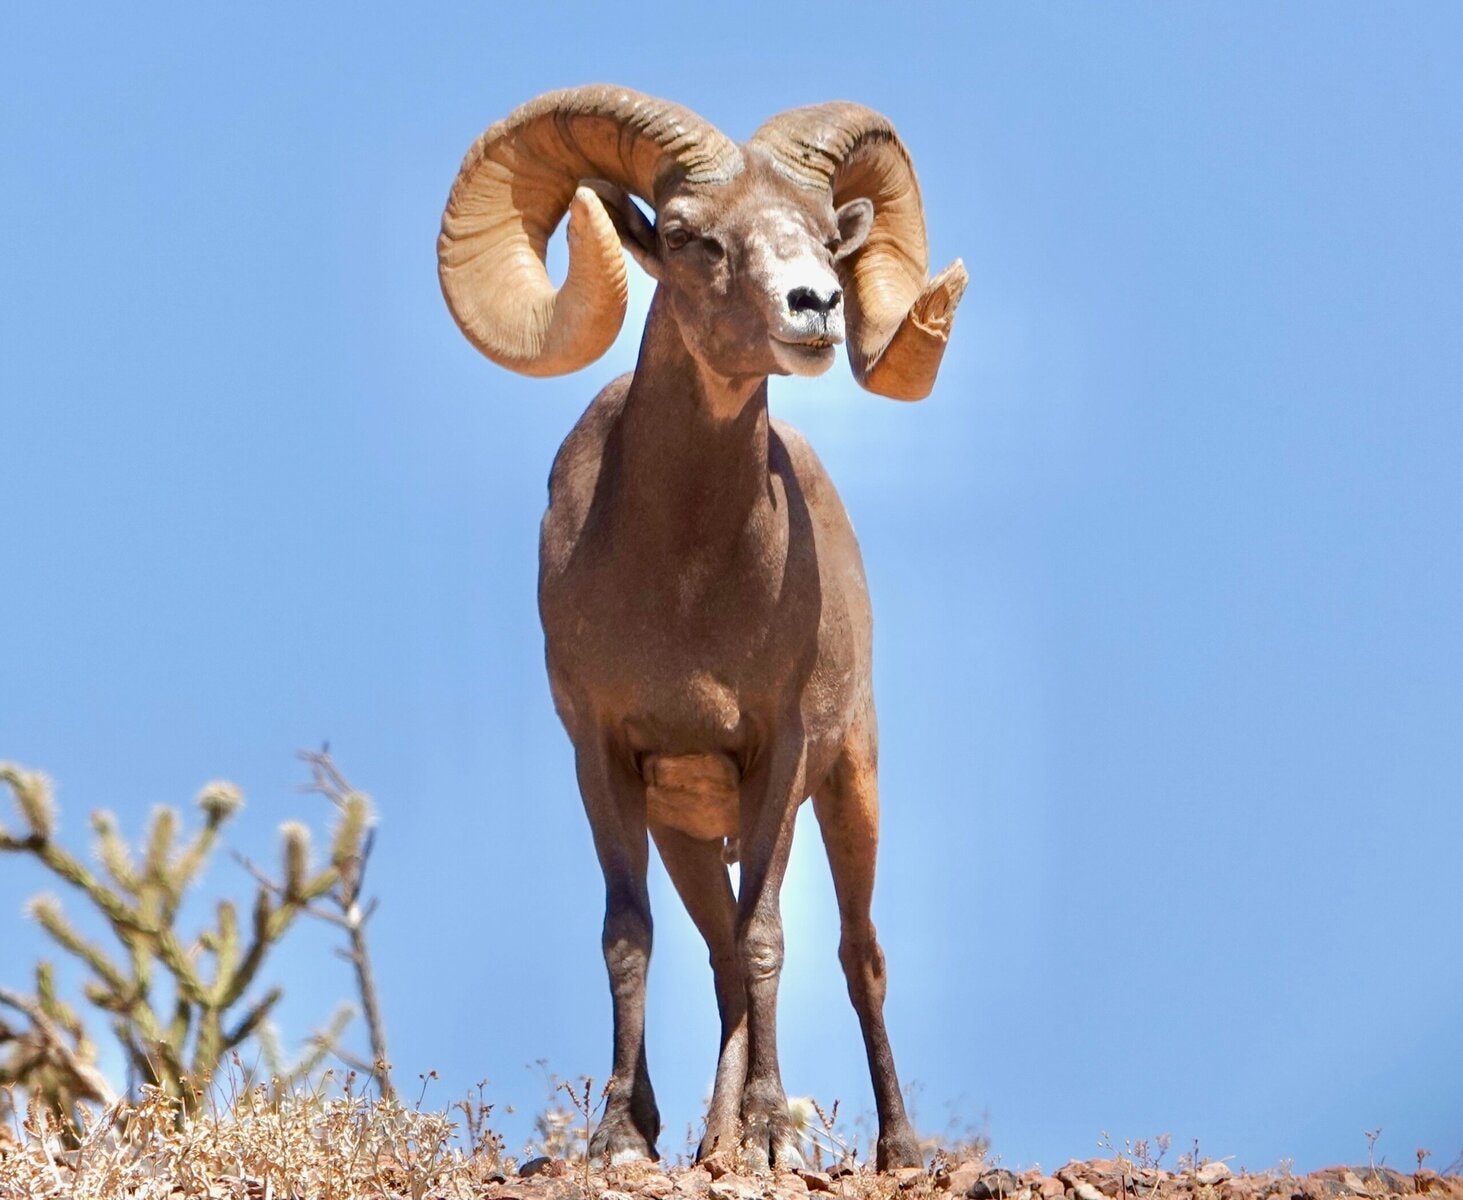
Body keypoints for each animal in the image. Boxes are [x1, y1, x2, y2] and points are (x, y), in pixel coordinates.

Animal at [438, 85, 967, 1173]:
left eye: (824, 235)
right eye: (688, 236)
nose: (815, 306)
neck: (681, 593)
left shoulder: (780, 753)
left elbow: (768, 939)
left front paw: (766, 1134)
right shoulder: (606, 761)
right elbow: (629, 938)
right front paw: (622, 1134)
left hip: (850, 783)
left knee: (856, 954)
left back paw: (894, 1148)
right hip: (689, 832)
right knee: (720, 959)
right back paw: (710, 1138)